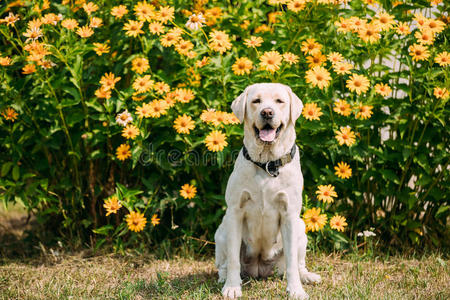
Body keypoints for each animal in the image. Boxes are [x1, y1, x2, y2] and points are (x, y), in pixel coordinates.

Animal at [214, 82, 320, 298]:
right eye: (256, 101)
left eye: (279, 101)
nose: (267, 112)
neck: (267, 164)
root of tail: (259, 269)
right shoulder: (235, 212)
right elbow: (233, 260)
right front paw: (232, 287)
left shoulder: (289, 215)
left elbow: (291, 263)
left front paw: (296, 290)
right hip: (222, 230)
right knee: (224, 263)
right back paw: (223, 278)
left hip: (301, 229)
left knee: (298, 264)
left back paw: (307, 277)